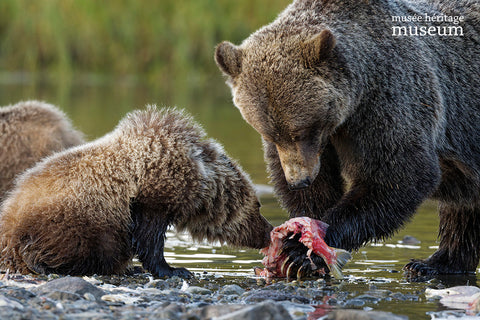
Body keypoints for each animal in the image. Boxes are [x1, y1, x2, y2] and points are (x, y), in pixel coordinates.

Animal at [0, 107, 272, 278]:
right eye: (258, 205)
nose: (269, 231)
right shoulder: (150, 197)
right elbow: (149, 238)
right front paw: (175, 269)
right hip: (67, 219)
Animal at [216, 0, 480, 276]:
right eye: (270, 133)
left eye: (301, 131)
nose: (299, 181)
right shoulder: (321, 145)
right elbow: (318, 186)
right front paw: (301, 240)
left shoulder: (390, 100)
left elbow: (398, 176)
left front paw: (300, 251)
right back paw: (437, 263)